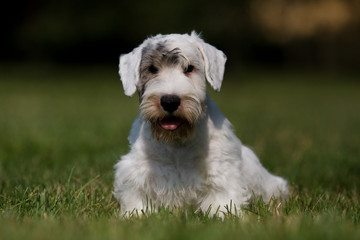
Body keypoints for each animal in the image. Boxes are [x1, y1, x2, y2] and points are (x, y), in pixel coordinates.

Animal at [114, 31, 288, 216]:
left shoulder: (221, 173)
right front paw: (135, 214)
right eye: (152, 69)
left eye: (189, 68)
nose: (170, 101)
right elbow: (138, 200)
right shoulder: (137, 174)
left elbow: (223, 201)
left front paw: (224, 215)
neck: (176, 142)